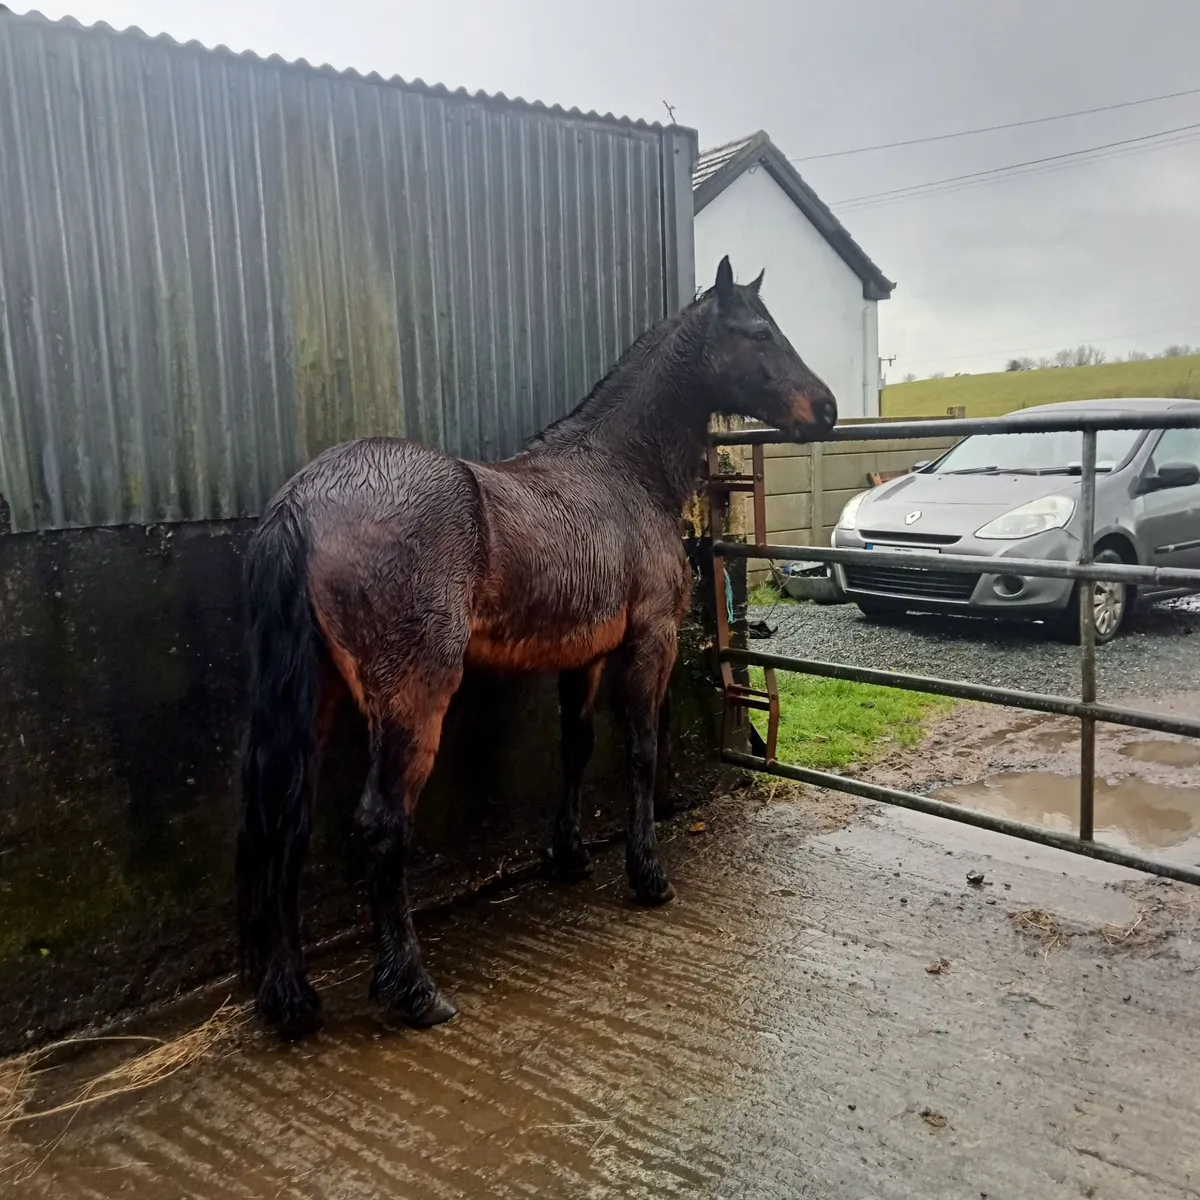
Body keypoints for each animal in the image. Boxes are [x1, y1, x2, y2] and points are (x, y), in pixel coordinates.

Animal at [237, 256, 837, 1039]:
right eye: (759, 332)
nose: (826, 409)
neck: (620, 471)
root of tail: (302, 503)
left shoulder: (583, 658)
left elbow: (576, 749)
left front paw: (572, 856)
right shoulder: (649, 640)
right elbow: (642, 750)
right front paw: (648, 875)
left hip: (317, 699)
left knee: (284, 816)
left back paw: (291, 1000)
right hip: (412, 696)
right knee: (379, 823)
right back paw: (413, 990)